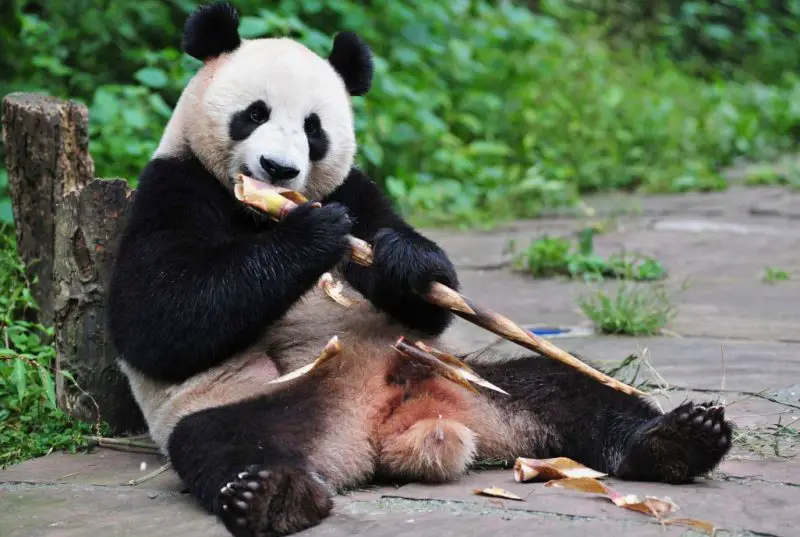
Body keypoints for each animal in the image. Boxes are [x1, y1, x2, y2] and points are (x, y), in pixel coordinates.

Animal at [106, 3, 734, 537]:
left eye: (313, 128)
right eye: (254, 114)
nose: (279, 169)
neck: (257, 210)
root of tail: (382, 431)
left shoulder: (358, 187)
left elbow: (421, 285)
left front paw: (402, 260)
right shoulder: (173, 185)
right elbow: (158, 322)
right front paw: (314, 234)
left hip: (462, 377)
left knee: (567, 389)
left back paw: (679, 438)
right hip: (253, 401)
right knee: (227, 443)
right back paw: (271, 497)